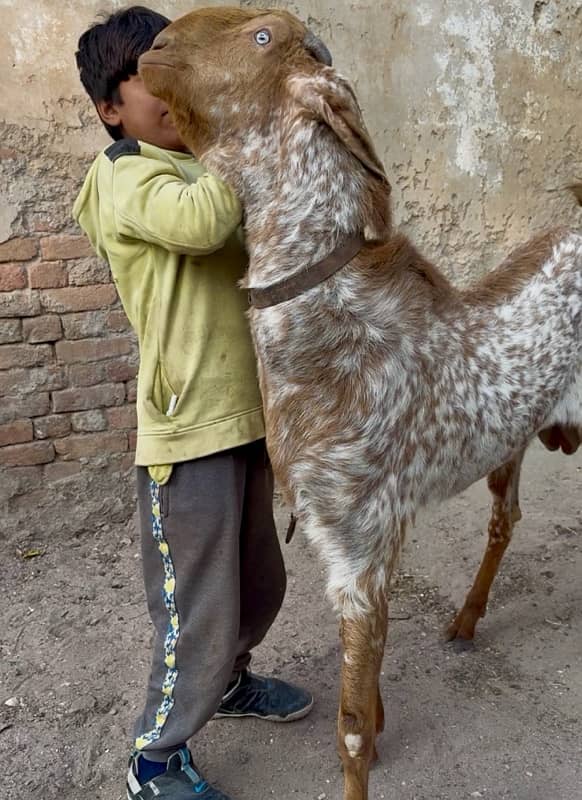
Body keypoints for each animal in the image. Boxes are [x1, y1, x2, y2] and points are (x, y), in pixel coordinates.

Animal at [140, 7, 582, 800]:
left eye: (262, 36)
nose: (154, 44)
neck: (332, 334)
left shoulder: (363, 545)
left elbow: (346, 727)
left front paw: (365, 743)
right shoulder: (341, 544)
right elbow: (363, 696)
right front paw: (380, 730)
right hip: (513, 443)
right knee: (505, 518)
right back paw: (466, 621)